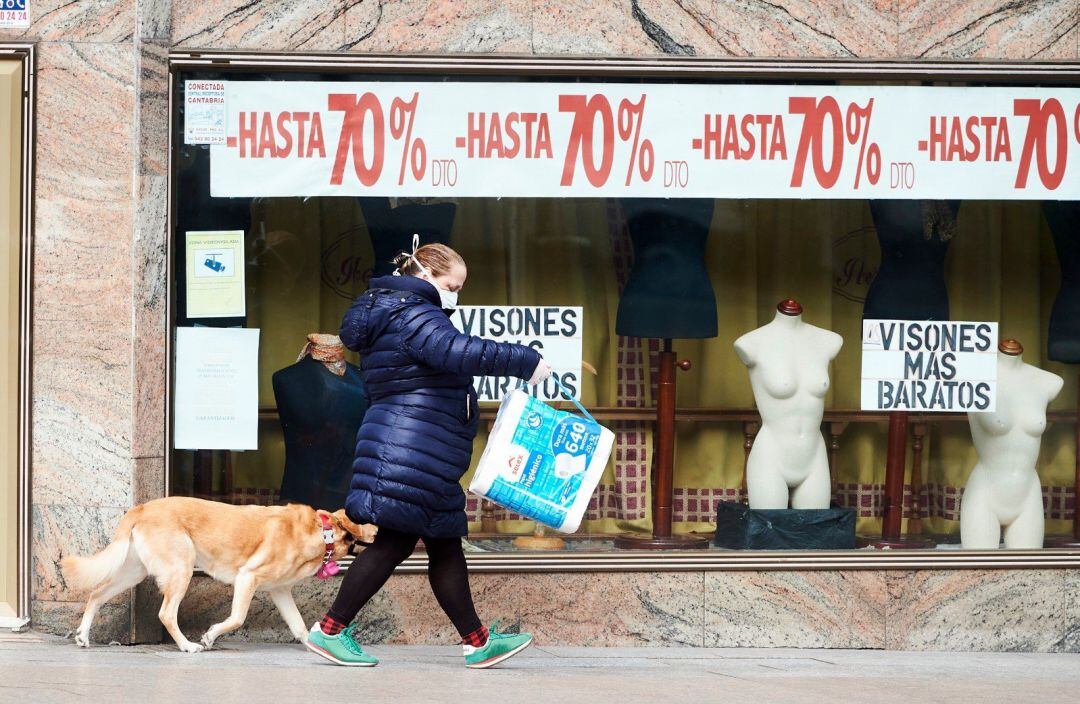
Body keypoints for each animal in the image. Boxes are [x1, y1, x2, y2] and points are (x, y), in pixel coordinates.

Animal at [63, 496, 378, 652]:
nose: (379, 530)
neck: (321, 533)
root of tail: (141, 508)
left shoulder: (279, 590)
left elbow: (299, 626)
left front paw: (316, 645)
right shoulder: (247, 578)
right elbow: (237, 618)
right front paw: (210, 637)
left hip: (133, 572)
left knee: (96, 594)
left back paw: (83, 636)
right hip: (182, 568)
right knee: (166, 614)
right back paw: (187, 646)